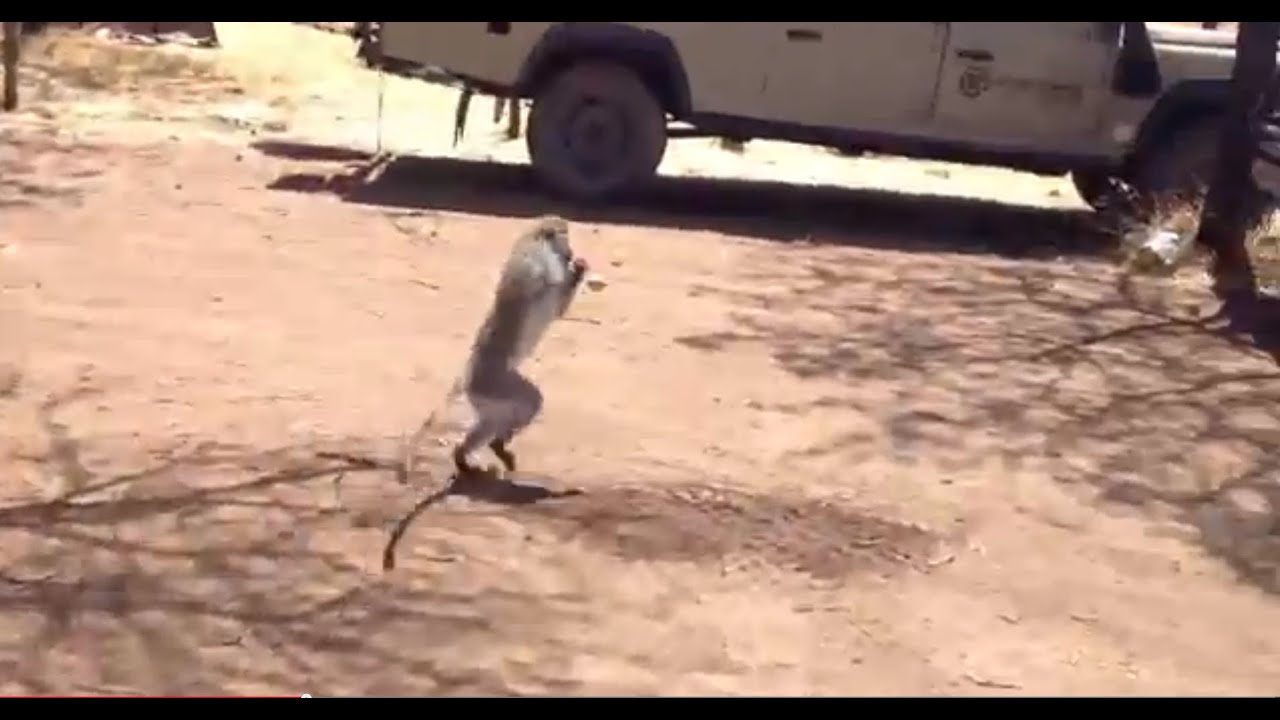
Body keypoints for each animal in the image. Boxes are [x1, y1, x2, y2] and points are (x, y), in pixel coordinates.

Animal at [401, 215, 588, 483]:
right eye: (566, 237)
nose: (570, 252)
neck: (536, 239)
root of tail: (468, 375)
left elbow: (556, 307)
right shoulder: (540, 263)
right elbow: (548, 293)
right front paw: (577, 270)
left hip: (485, 393)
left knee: (490, 421)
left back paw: (467, 454)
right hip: (494, 382)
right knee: (530, 400)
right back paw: (494, 445)